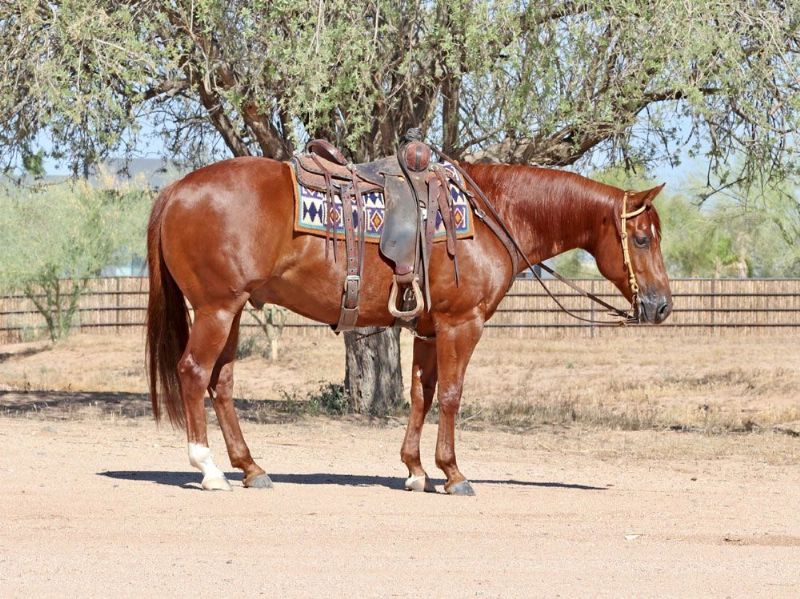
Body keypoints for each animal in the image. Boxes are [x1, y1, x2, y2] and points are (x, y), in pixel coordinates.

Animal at [146, 156, 672, 495]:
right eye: (642, 239)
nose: (662, 306)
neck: (492, 216)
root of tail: (176, 190)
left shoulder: (428, 327)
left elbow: (421, 393)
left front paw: (416, 470)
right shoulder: (462, 324)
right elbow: (452, 395)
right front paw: (453, 473)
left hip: (231, 311)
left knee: (221, 383)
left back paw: (251, 468)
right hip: (216, 309)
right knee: (194, 373)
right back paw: (209, 470)